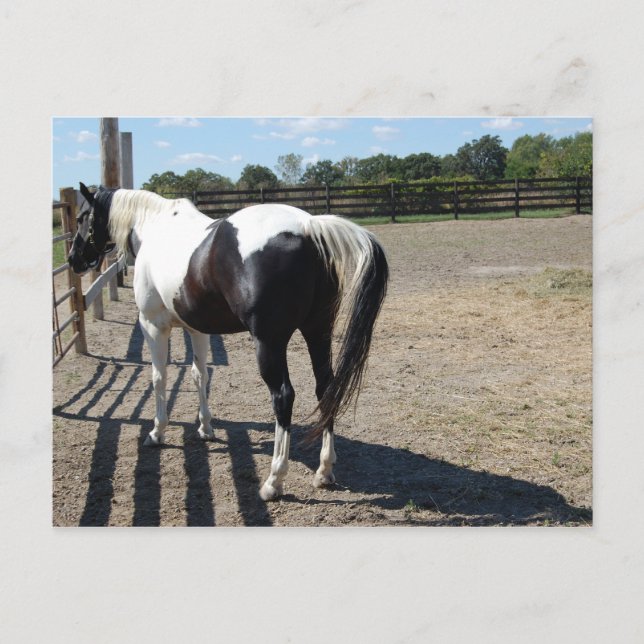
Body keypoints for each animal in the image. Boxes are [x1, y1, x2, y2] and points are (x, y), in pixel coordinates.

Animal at [68, 183, 388, 501]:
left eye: (81, 218)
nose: (73, 259)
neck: (154, 227)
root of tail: (308, 227)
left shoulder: (153, 326)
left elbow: (159, 378)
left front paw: (157, 432)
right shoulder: (196, 329)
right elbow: (200, 375)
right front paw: (205, 427)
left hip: (269, 343)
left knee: (283, 396)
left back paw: (274, 481)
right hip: (318, 332)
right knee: (326, 389)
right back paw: (324, 470)